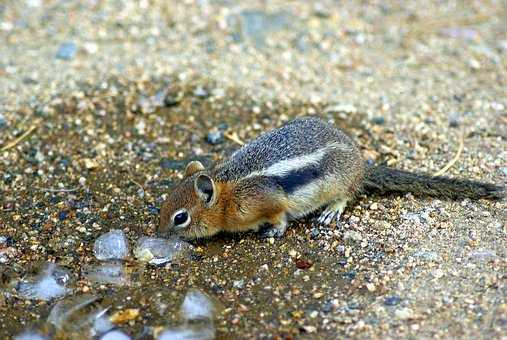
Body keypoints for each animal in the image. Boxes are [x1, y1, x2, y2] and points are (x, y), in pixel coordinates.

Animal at [160, 117, 504, 239]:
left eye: (180, 218)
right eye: (163, 205)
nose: (158, 232)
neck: (227, 194)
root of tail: (361, 164)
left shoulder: (265, 201)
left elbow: (279, 216)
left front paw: (275, 230)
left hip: (338, 183)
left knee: (348, 195)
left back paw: (331, 211)